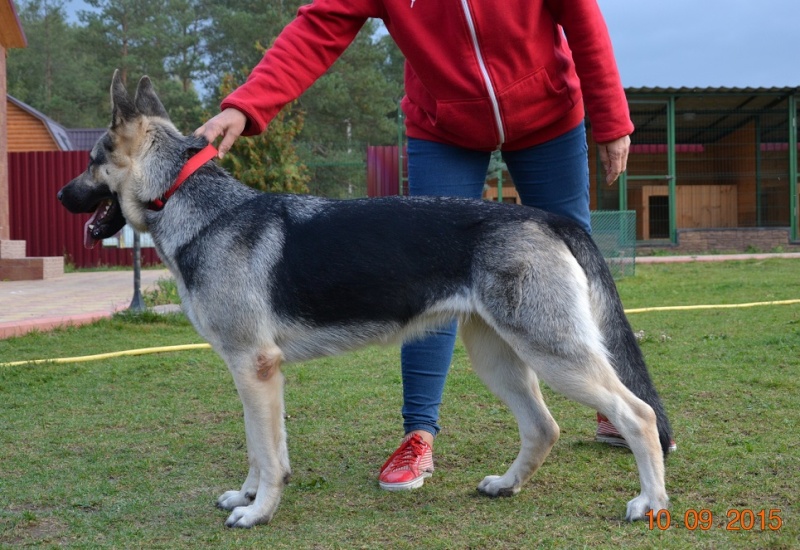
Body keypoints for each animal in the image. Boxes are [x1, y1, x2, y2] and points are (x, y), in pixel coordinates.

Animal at [56, 71, 672, 528]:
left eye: (91, 161)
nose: (61, 195)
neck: (193, 202)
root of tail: (544, 217)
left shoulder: (254, 368)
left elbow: (268, 453)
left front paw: (258, 511)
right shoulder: (251, 373)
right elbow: (260, 447)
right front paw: (248, 495)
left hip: (553, 356)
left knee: (638, 416)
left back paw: (651, 503)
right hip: (498, 359)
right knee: (544, 428)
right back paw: (506, 485)